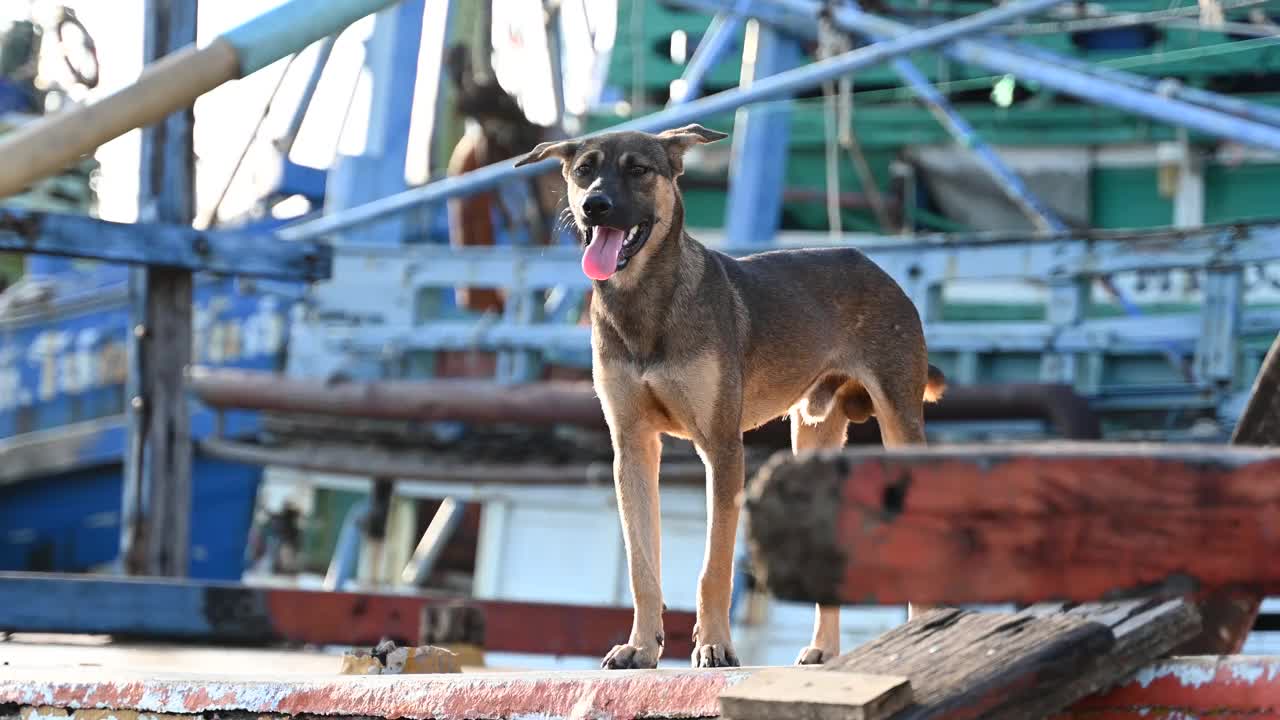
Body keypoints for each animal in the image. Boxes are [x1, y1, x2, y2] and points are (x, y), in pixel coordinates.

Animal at [514, 122, 947, 666]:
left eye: (639, 170)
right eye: (583, 170)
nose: (595, 206)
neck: (644, 304)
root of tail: (875, 266)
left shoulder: (722, 449)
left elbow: (714, 567)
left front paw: (715, 644)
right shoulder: (632, 449)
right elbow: (641, 567)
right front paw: (641, 647)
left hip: (899, 422)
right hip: (812, 438)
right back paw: (823, 649)